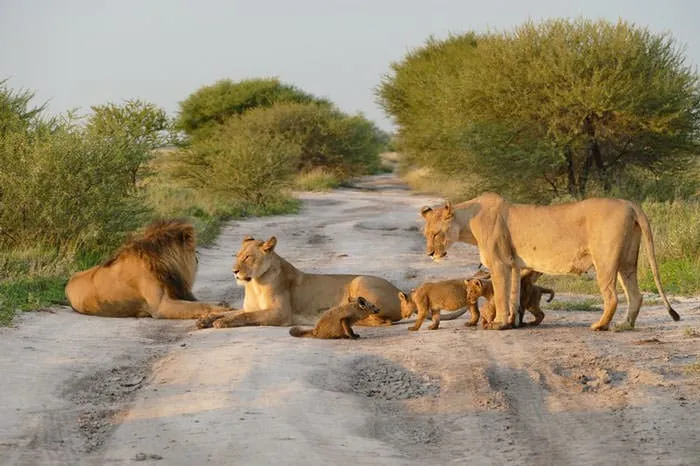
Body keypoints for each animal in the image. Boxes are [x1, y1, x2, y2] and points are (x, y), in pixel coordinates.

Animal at [65, 219, 231, 319]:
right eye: (192, 250)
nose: (197, 260)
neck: (163, 264)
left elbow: (201, 302)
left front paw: (222, 304)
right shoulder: (161, 306)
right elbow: (199, 305)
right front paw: (221, 310)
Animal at [197, 236, 404, 329]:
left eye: (248, 257)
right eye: (237, 256)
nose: (234, 271)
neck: (254, 284)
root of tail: (399, 291)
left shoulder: (281, 314)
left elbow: (246, 316)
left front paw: (223, 322)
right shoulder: (251, 307)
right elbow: (232, 311)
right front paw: (205, 319)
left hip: (360, 280)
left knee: (382, 320)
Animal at [422, 193, 680, 331]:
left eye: (436, 234)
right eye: (426, 234)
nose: (429, 254)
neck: (467, 222)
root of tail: (629, 202)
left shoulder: (499, 263)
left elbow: (501, 294)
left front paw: (498, 323)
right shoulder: (514, 265)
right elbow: (513, 295)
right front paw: (512, 322)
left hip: (605, 260)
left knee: (612, 297)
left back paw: (600, 325)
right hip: (627, 261)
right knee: (636, 294)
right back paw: (625, 326)